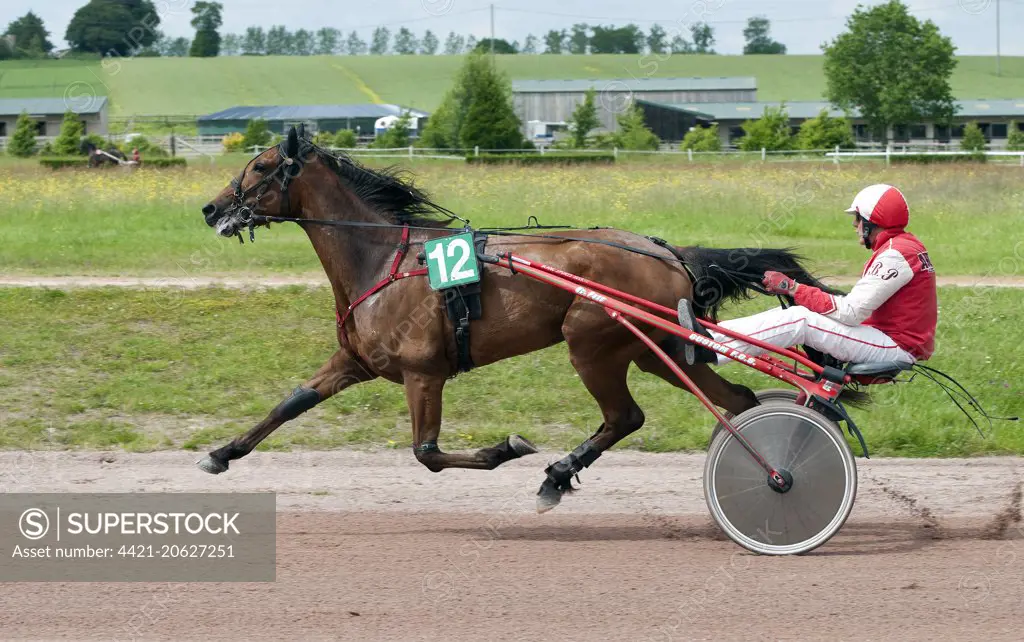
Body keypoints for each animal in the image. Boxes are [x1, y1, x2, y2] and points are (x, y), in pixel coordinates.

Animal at [195, 127, 835, 514]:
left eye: (261, 166)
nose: (210, 207)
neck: (380, 258)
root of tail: (668, 252)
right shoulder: (357, 361)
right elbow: (293, 401)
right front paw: (222, 453)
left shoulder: (423, 372)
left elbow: (427, 453)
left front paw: (507, 448)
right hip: (657, 350)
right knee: (736, 401)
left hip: (592, 343)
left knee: (624, 416)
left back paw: (556, 475)